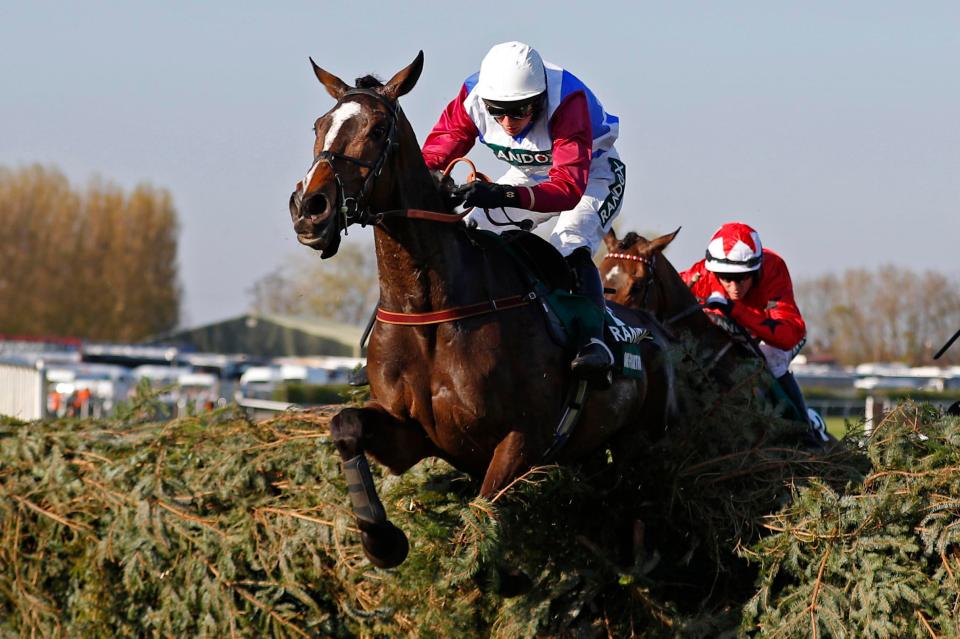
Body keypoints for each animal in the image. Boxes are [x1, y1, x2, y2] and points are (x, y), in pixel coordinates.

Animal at [288, 52, 672, 568]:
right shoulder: (414, 435)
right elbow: (345, 424)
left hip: (643, 441)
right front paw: (381, 539)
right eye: (319, 125)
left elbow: (478, 524)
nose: (310, 208)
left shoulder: (520, 441)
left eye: (376, 129)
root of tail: (652, 327)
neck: (430, 311)